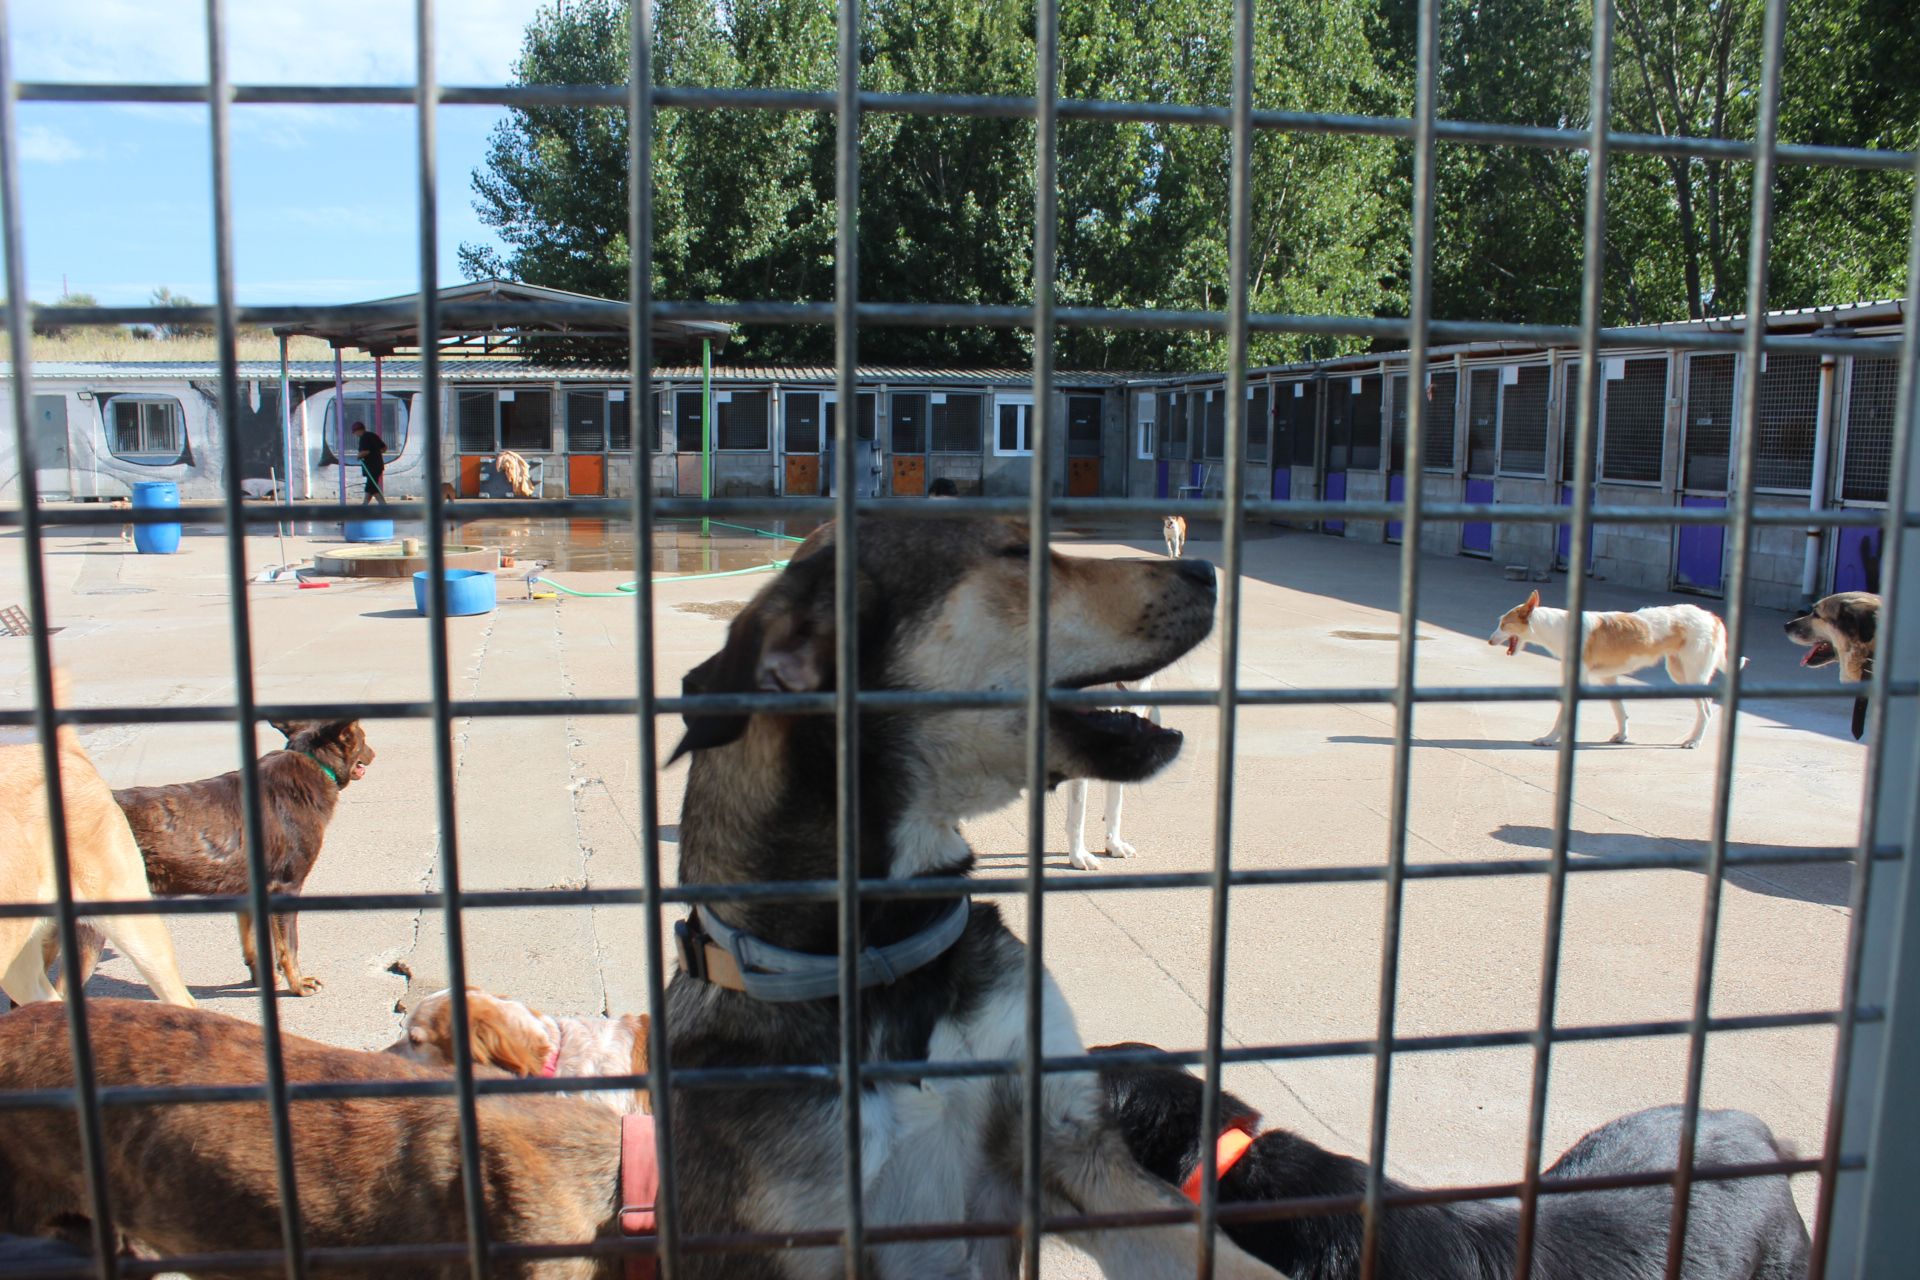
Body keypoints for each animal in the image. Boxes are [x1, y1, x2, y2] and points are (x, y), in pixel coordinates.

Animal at [1489, 591, 1751, 752]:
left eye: (1503, 624)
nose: (1490, 641)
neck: (1558, 627)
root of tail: (1711, 616)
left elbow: (1563, 714)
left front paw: (1550, 738)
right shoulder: (1608, 677)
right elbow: (1619, 709)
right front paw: (1622, 735)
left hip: (1690, 675)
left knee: (1706, 709)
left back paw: (1694, 741)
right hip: (1678, 670)